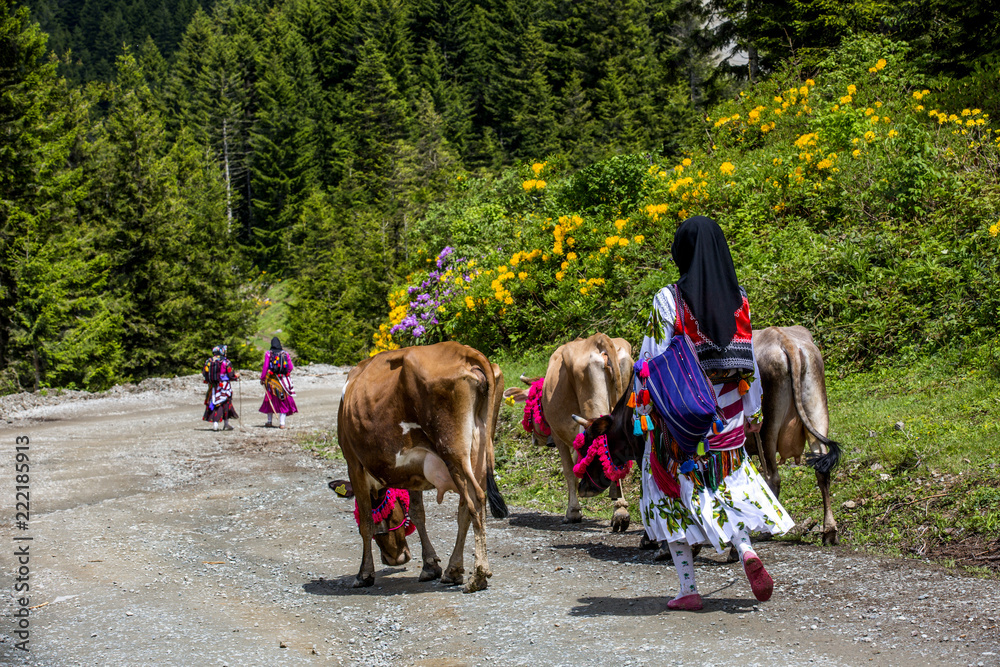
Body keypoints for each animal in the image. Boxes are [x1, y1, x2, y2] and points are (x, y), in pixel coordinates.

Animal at [338, 342, 508, 592]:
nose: (394, 559)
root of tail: (465, 351)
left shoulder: (354, 464)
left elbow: (366, 523)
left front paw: (364, 573)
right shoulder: (412, 471)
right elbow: (418, 514)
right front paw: (430, 566)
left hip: (453, 451)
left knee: (476, 500)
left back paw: (479, 574)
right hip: (479, 453)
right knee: (465, 509)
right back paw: (453, 570)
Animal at [500, 334, 632, 532]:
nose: (535, 441)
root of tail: (599, 338)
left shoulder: (559, 436)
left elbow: (570, 471)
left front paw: (573, 512)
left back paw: (619, 513)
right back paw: (621, 510)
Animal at [752, 326, 844, 544]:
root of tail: (784, 340)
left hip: (767, 426)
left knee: (773, 478)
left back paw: (767, 530)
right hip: (817, 412)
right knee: (822, 470)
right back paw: (829, 531)